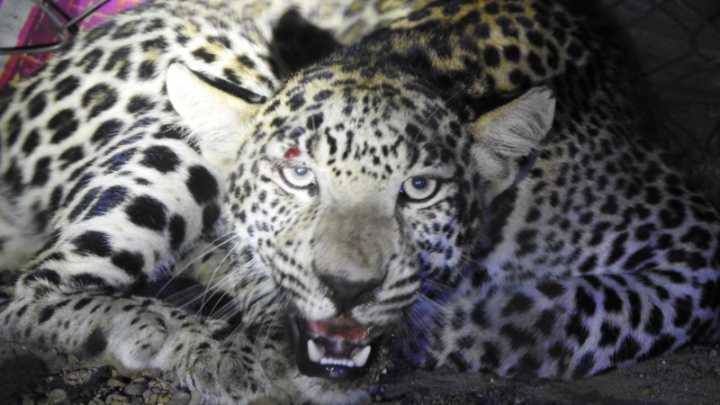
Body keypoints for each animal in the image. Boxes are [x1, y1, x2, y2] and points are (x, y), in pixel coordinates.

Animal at [1, 0, 719, 404]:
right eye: (298, 175)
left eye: (419, 188)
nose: (346, 288)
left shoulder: (695, 248)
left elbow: (550, 313)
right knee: (34, 294)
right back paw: (199, 343)